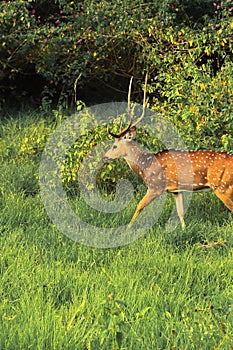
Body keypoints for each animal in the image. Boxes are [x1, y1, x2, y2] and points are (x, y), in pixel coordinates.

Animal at [104, 75, 233, 228]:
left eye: (114, 146)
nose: (105, 157)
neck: (145, 165)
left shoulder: (156, 186)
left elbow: (139, 206)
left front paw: (128, 228)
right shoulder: (177, 190)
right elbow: (181, 213)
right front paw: (183, 229)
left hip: (223, 186)